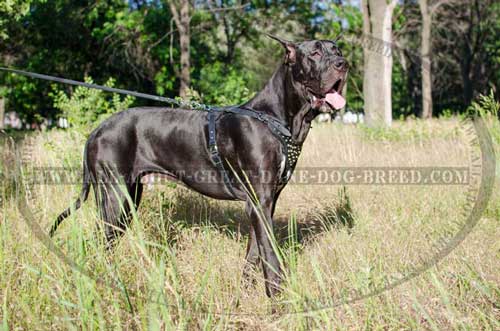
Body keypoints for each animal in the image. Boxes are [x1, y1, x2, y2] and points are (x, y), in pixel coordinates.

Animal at [50, 37, 348, 298]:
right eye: (315, 53)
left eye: (338, 49)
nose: (343, 64)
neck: (277, 117)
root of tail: (96, 130)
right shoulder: (259, 201)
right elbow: (270, 255)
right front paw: (279, 300)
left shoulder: (265, 202)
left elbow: (254, 252)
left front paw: (244, 294)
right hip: (115, 198)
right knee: (97, 244)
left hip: (130, 196)